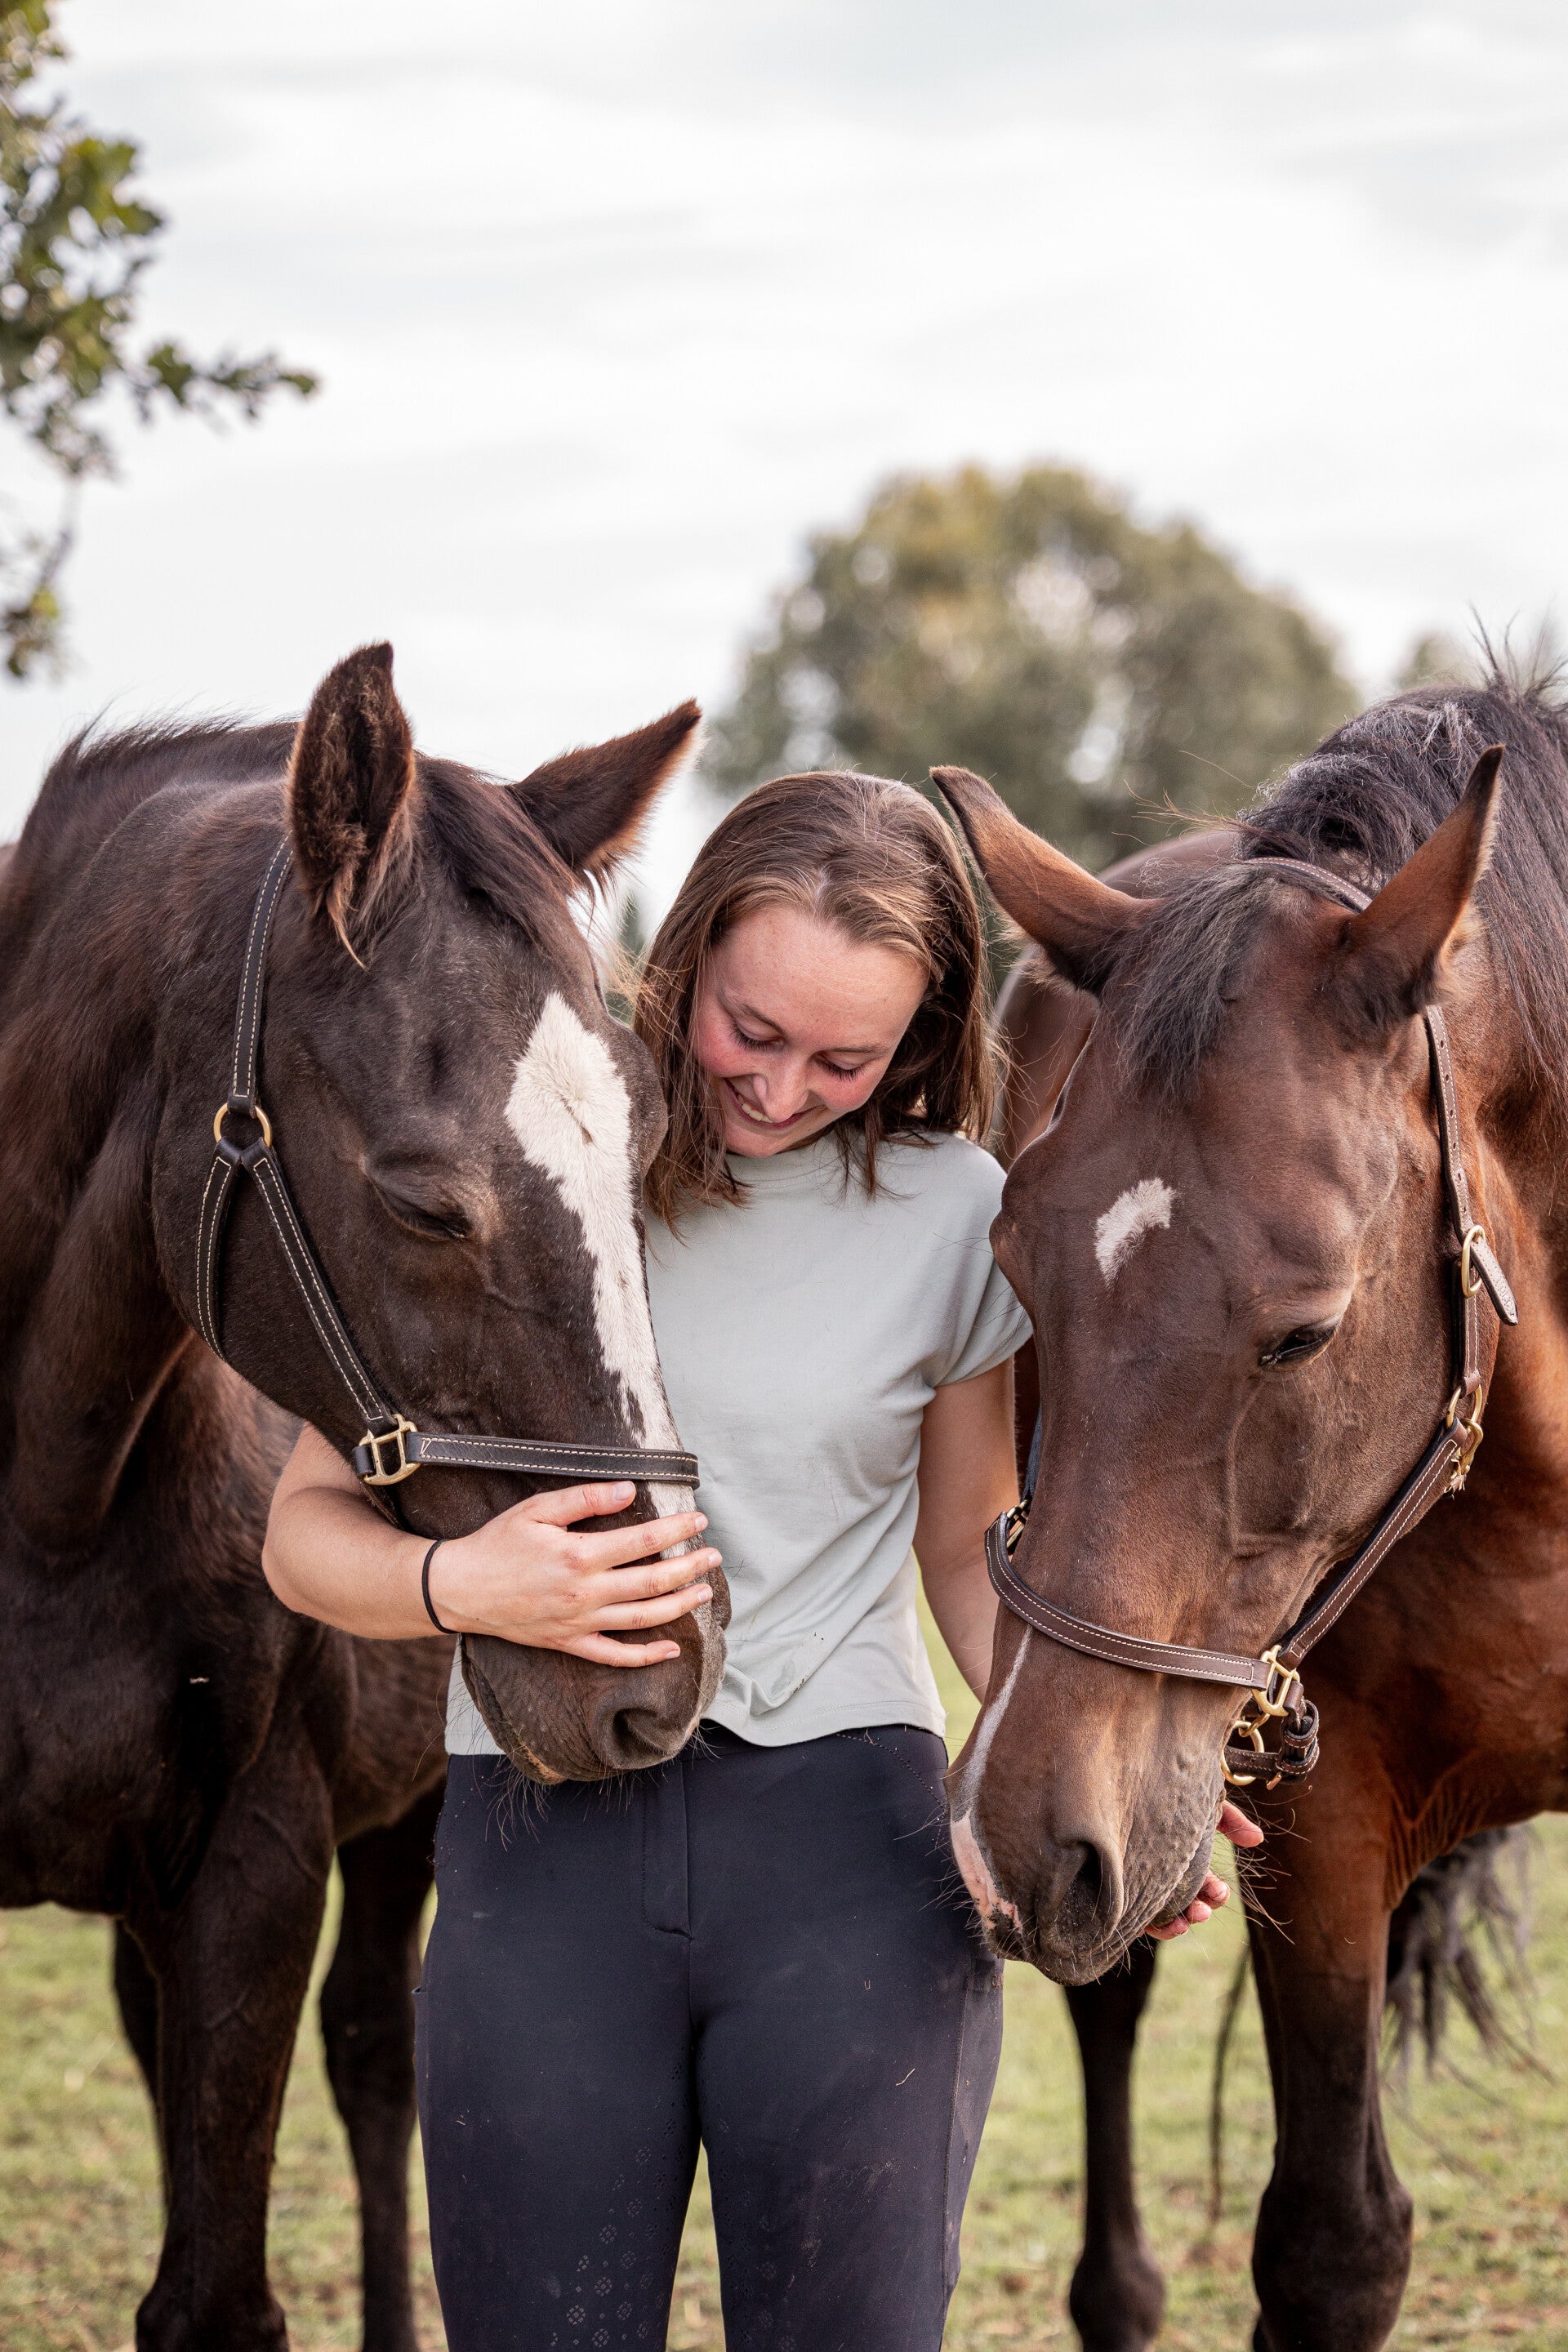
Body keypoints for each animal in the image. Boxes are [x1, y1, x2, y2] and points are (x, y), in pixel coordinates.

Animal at [0, 642, 728, 2349]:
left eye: (653, 1149)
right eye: (423, 1201)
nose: (658, 1676)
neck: (43, 1522)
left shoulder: (255, 1872)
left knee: (379, 2061)